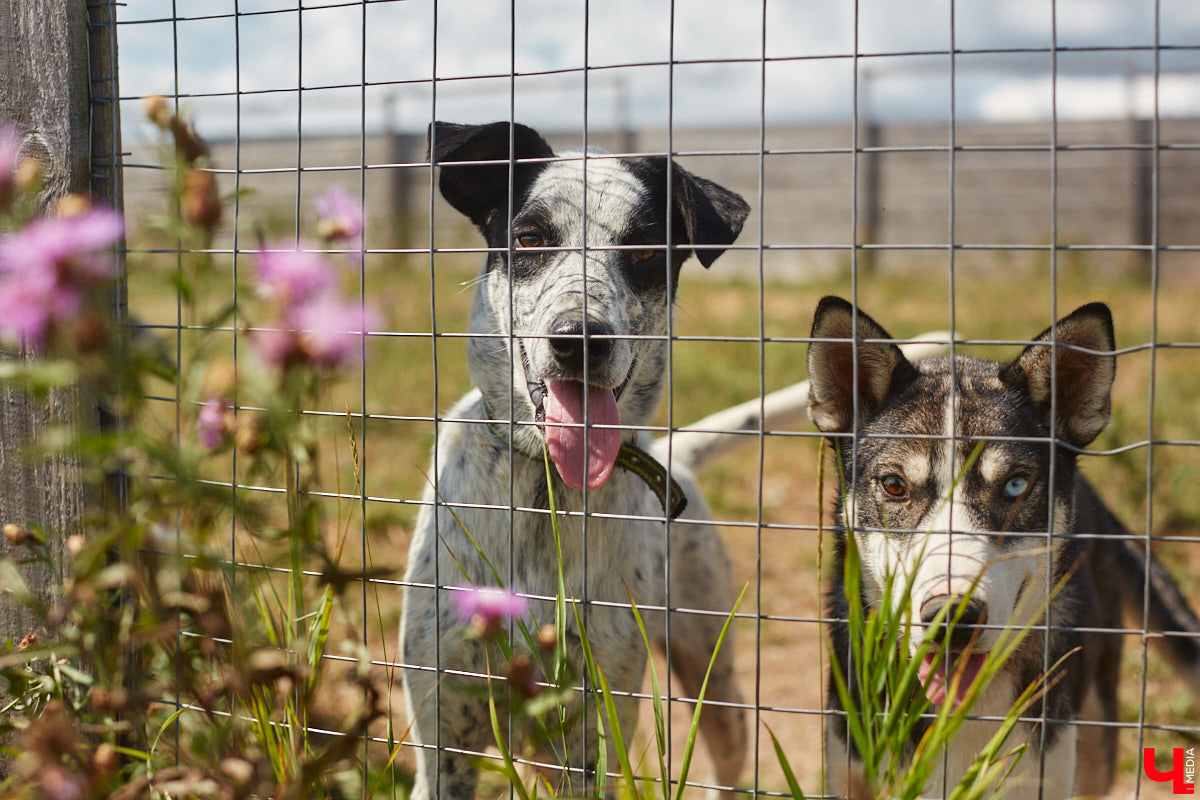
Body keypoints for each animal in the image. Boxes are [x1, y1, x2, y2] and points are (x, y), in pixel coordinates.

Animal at [408, 123, 753, 800]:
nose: (580, 340)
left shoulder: (592, 735)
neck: (547, 484)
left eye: (643, 249)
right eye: (530, 237)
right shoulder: (443, 734)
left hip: (712, 673)